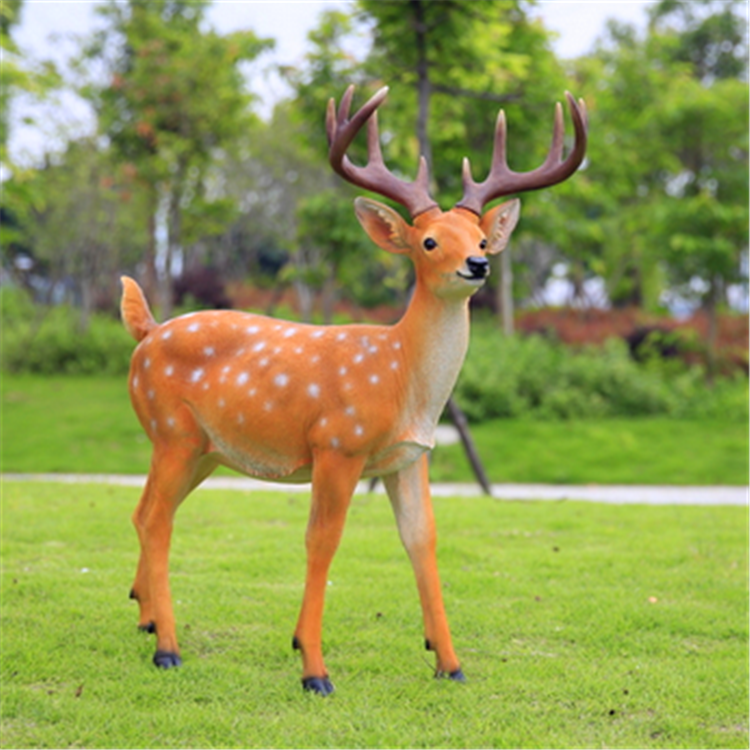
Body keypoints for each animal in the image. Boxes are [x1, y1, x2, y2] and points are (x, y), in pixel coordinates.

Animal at [120, 84, 587, 696]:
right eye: (429, 241)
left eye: (484, 238)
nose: (478, 264)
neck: (400, 377)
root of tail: (147, 332)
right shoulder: (337, 444)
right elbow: (323, 540)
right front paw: (314, 668)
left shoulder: (409, 456)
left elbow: (422, 540)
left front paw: (449, 663)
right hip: (172, 430)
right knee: (157, 519)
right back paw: (169, 648)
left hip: (202, 448)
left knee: (144, 510)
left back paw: (146, 619)